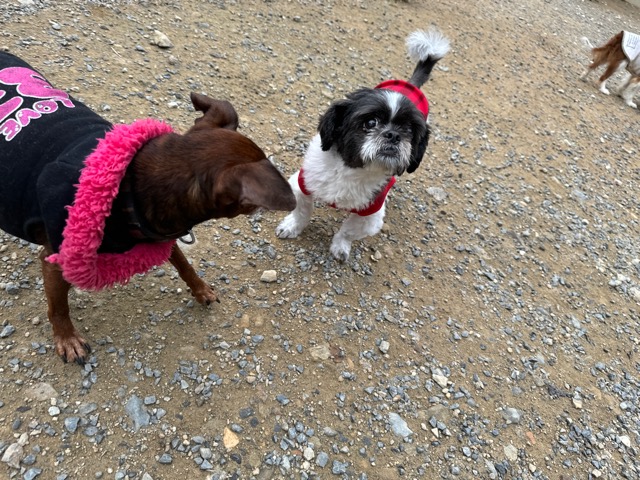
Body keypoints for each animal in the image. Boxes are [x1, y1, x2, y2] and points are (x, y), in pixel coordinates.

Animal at [0, 51, 296, 365]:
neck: (126, 189)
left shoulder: (161, 232)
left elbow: (184, 264)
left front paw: (200, 289)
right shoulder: (55, 261)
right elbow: (58, 307)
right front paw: (67, 338)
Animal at [275, 28, 450, 260]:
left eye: (409, 131)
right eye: (370, 123)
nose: (393, 135)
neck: (352, 170)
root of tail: (410, 85)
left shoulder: (370, 217)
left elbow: (348, 231)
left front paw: (340, 247)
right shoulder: (301, 184)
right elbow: (302, 211)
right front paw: (292, 227)